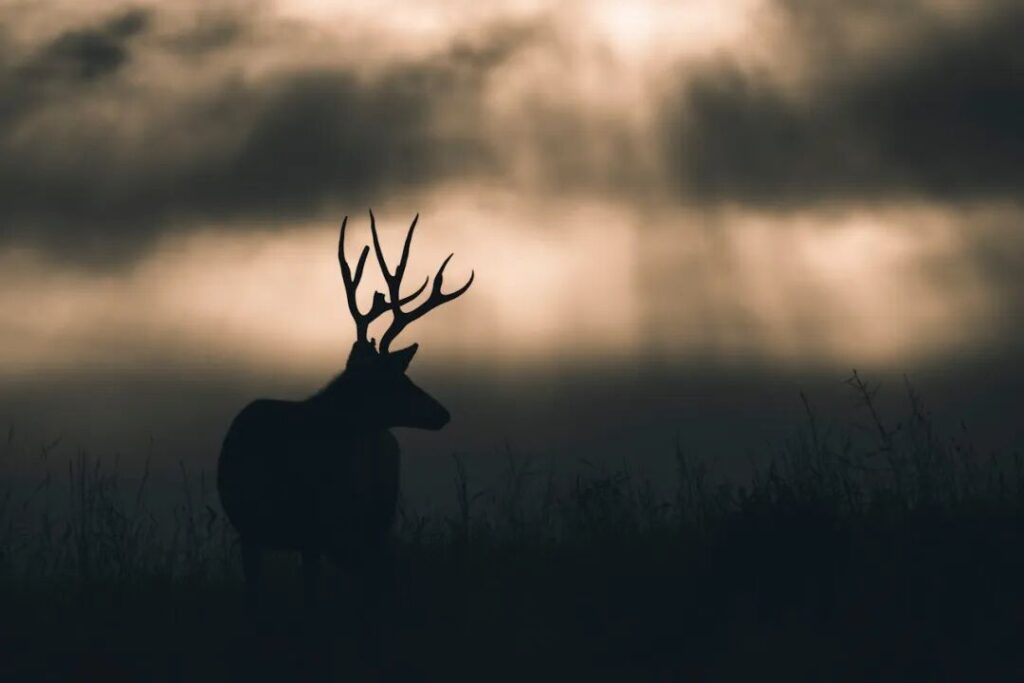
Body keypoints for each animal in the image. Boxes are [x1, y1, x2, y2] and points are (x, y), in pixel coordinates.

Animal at [217, 210, 473, 615]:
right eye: (397, 381)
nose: (442, 413)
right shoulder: (257, 530)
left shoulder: (324, 532)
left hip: (375, 519)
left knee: (383, 576)